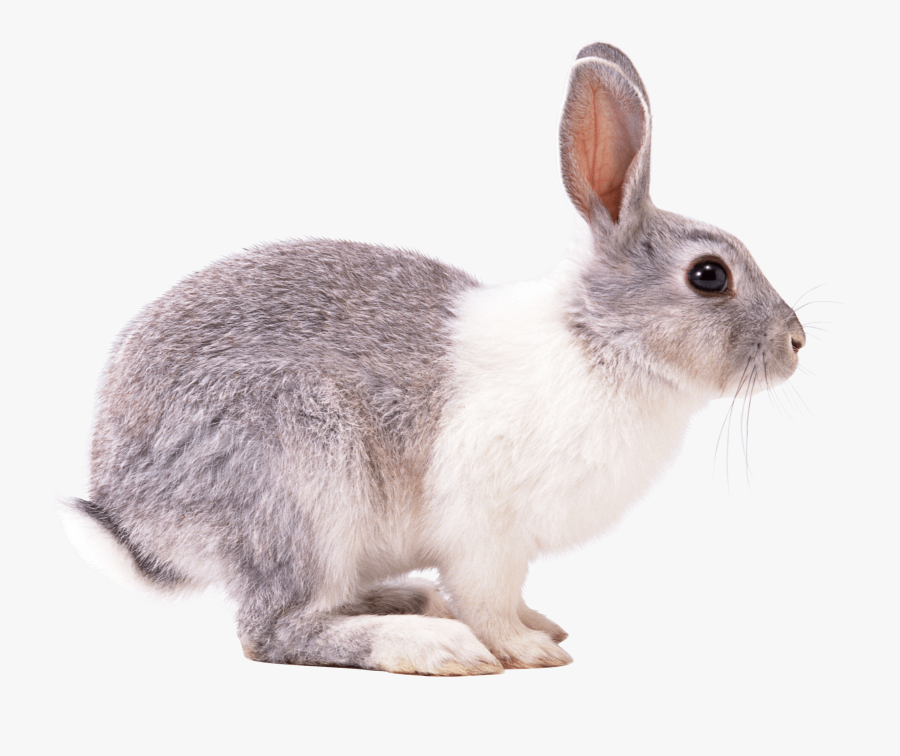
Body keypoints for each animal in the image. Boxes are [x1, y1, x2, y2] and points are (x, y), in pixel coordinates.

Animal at [65, 42, 805, 675]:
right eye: (709, 276)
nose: (797, 343)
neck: (599, 339)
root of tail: (134, 518)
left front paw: (540, 624)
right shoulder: (485, 533)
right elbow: (488, 598)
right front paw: (528, 649)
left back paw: (417, 602)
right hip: (301, 480)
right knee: (274, 629)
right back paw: (431, 644)